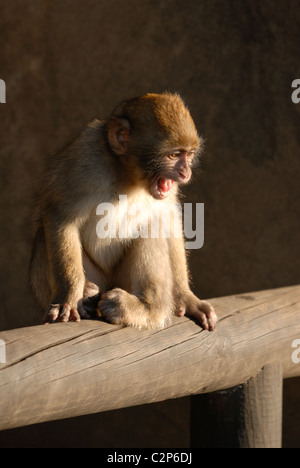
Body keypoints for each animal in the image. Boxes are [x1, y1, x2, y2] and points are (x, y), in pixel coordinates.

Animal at [30, 93, 217, 330]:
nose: (185, 172)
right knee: (43, 236)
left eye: (189, 154)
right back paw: (87, 292)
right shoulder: (84, 158)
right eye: (174, 155)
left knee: (152, 229)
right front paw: (68, 296)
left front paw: (186, 297)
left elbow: (168, 221)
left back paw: (145, 307)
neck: (128, 175)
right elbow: (61, 217)